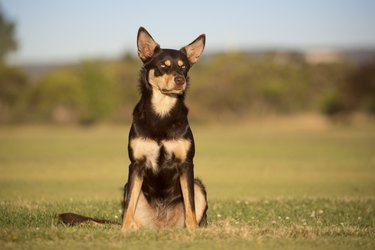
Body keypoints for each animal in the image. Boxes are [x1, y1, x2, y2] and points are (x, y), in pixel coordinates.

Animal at [60, 26, 210, 230]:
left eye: (183, 66)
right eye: (163, 66)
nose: (180, 80)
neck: (161, 113)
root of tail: (160, 227)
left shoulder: (186, 164)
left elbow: (190, 205)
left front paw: (193, 231)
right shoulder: (136, 165)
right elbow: (130, 205)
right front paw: (123, 231)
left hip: (198, 185)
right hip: (128, 188)